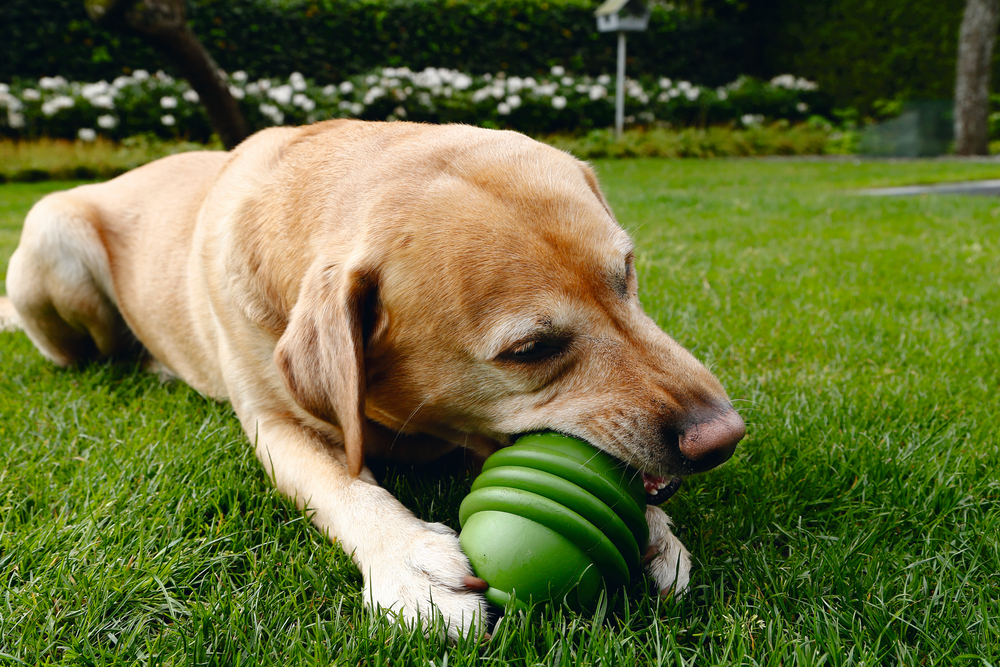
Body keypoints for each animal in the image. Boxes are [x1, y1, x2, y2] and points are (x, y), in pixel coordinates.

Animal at [0, 121, 744, 640]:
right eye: (530, 349)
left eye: (627, 276)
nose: (724, 437)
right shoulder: (276, 422)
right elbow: (343, 484)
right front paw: (409, 560)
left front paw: (655, 529)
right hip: (51, 235)